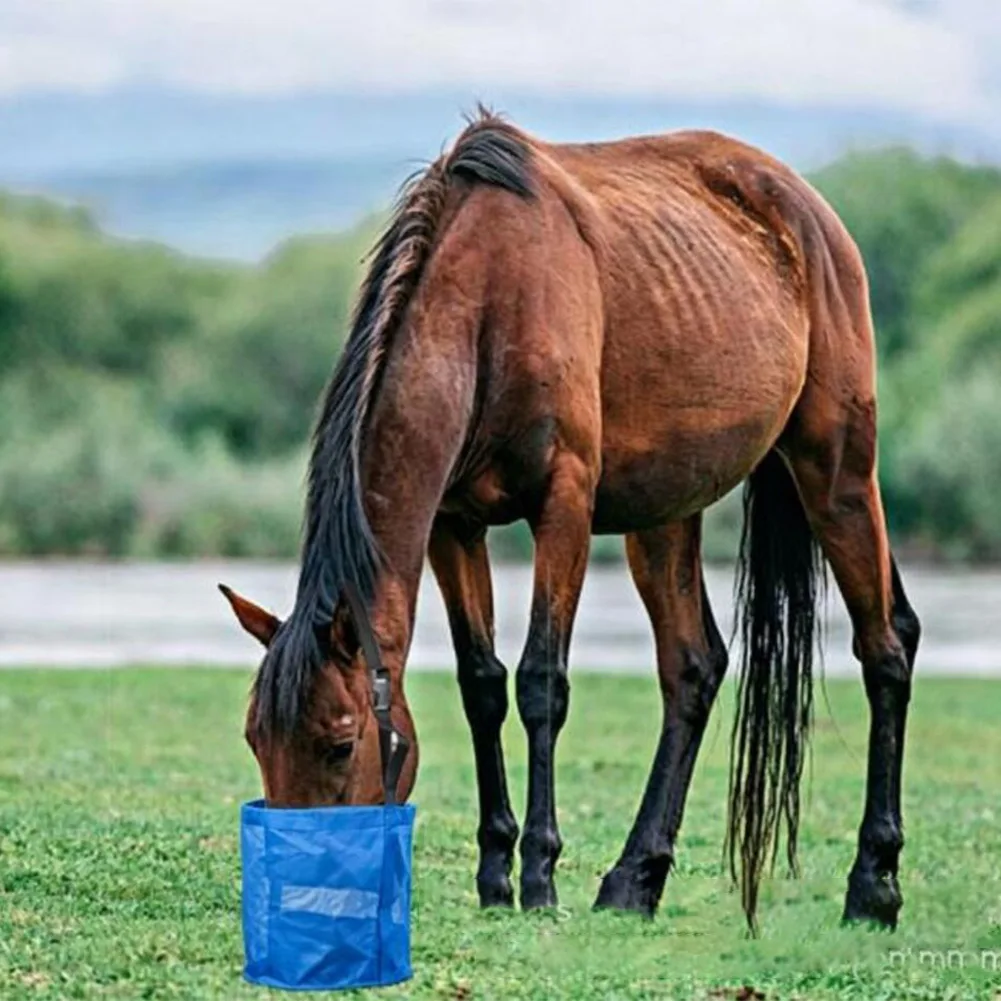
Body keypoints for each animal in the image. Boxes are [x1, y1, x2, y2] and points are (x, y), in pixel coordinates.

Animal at [221, 109, 921, 931]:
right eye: (255, 740)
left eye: (338, 744)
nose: (302, 901)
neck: (490, 304)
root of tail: (809, 212)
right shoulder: (453, 525)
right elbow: (483, 686)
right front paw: (495, 870)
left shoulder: (563, 507)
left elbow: (540, 684)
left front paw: (538, 874)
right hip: (665, 515)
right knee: (693, 668)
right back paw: (634, 878)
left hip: (836, 472)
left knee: (885, 648)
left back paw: (872, 884)